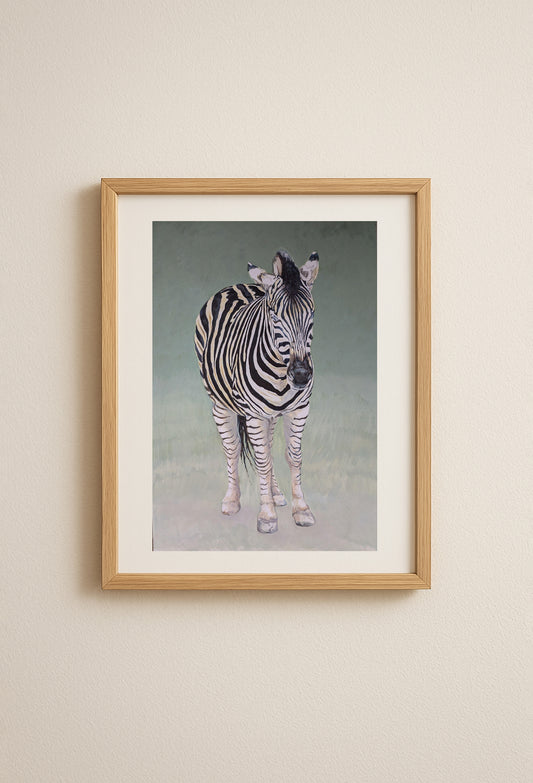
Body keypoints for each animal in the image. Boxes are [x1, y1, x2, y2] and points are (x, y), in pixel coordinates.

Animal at [194, 249, 319, 533]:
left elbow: (293, 457)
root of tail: (237, 285)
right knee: (232, 449)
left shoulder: (299, 409)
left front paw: (301, 510)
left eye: (311, 314)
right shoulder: (253, 414)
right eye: (274, 317)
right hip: (221, 405)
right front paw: (267, 516)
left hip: (269, 415)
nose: (301, 375)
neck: (281, 372)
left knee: (269, 448)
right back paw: (231, 501)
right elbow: (261, 460)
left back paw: (276, 494)